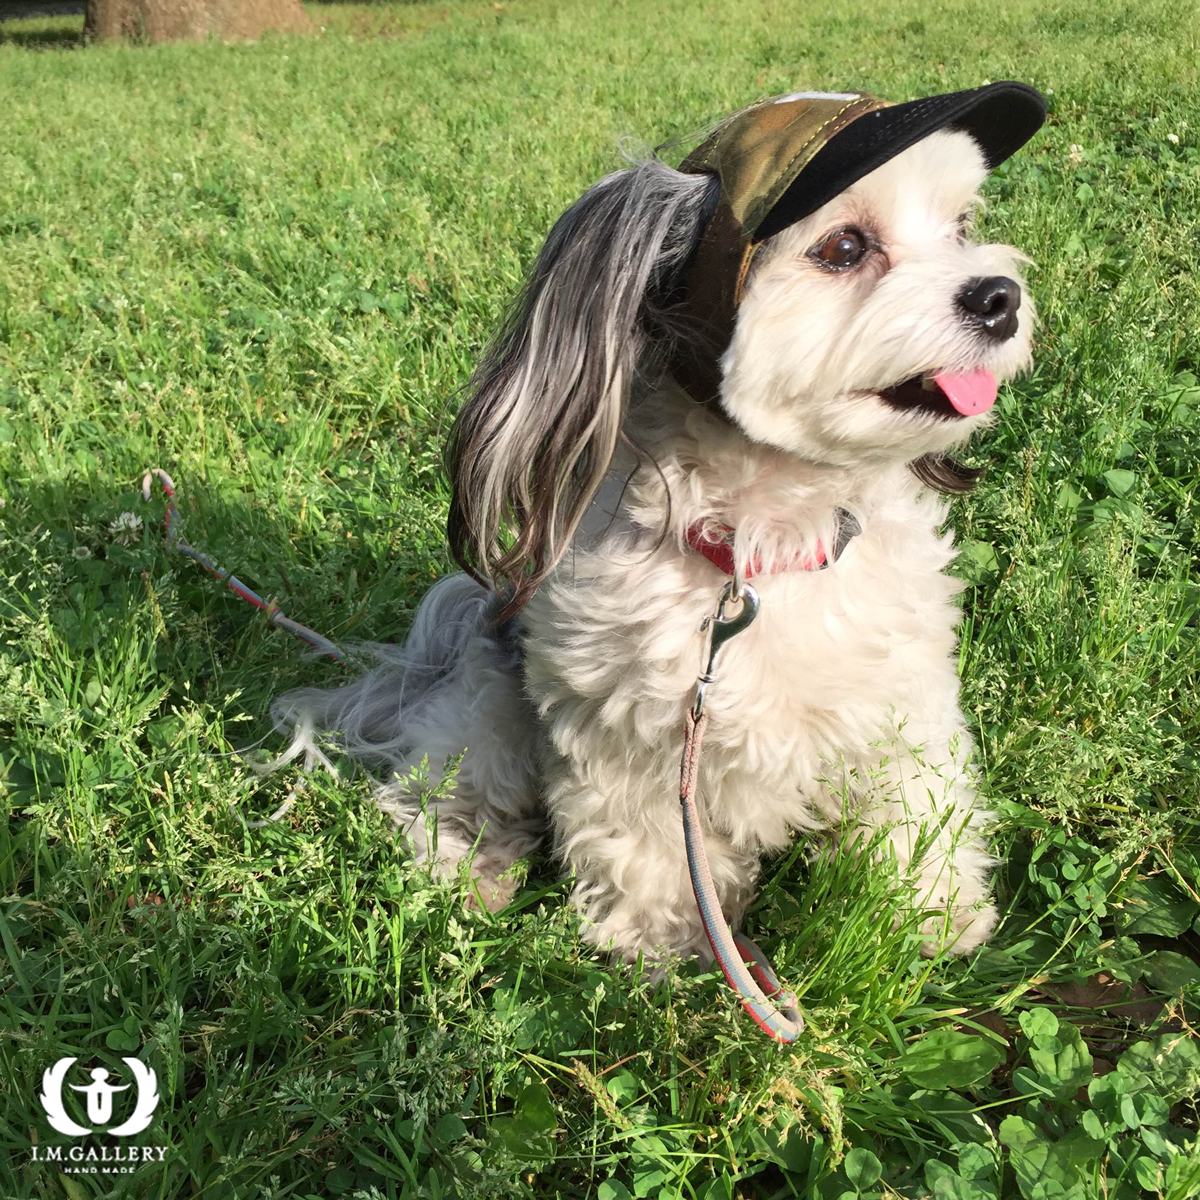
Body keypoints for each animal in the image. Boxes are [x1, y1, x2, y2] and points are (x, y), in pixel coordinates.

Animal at [271, 83, 1047, 964]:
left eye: (960, 227)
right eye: (845, 247)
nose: (999, 295)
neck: (761, 548)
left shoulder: (903, 705)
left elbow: (918, 811)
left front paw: (932, 913)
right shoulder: (629, 737)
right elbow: (646, 847)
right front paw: (664, 943)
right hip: (487, 710)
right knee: (446, 790)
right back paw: (471, 866)